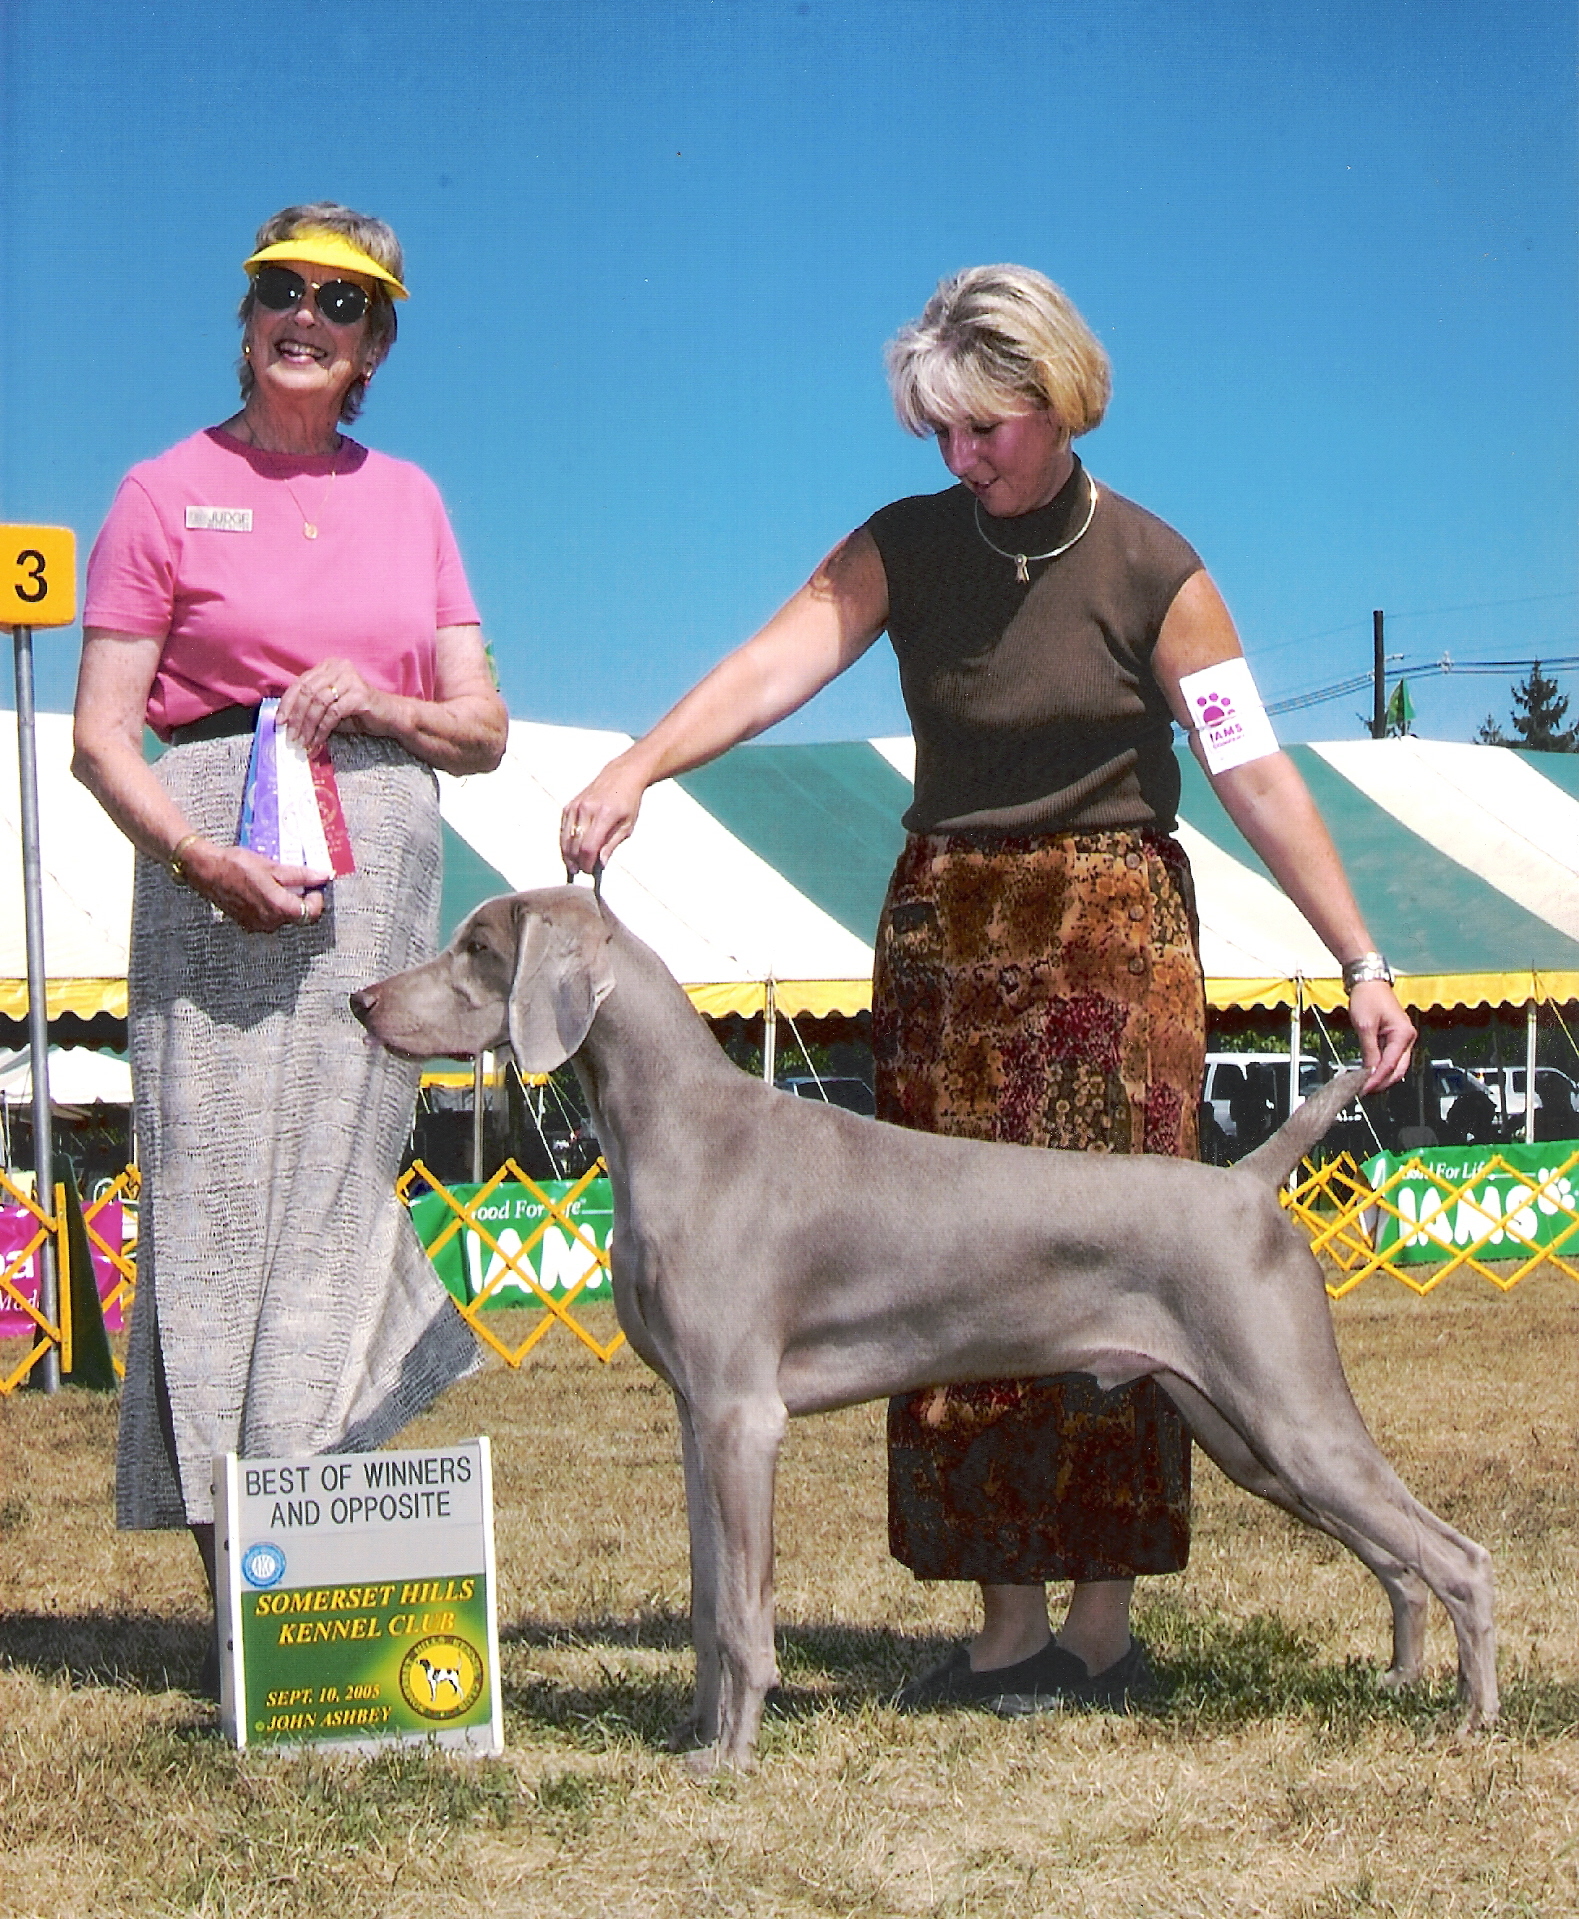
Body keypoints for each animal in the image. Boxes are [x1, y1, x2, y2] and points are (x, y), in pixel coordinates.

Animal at [351, 882, 1504, 1765]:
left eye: (477, 948)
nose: (360, 999)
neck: (683, 1130)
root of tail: (1250, 1177)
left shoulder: (742, 1418)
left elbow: (744, 1614)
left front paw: (730, 1756)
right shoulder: (694, 1419)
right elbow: (707, 1603)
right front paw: (689, 1735)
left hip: (1288, 1410)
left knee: (1458, 1556)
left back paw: (1472, 1718)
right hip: (1244, 1436)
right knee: (1398, 1562)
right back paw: (1402, 1678)